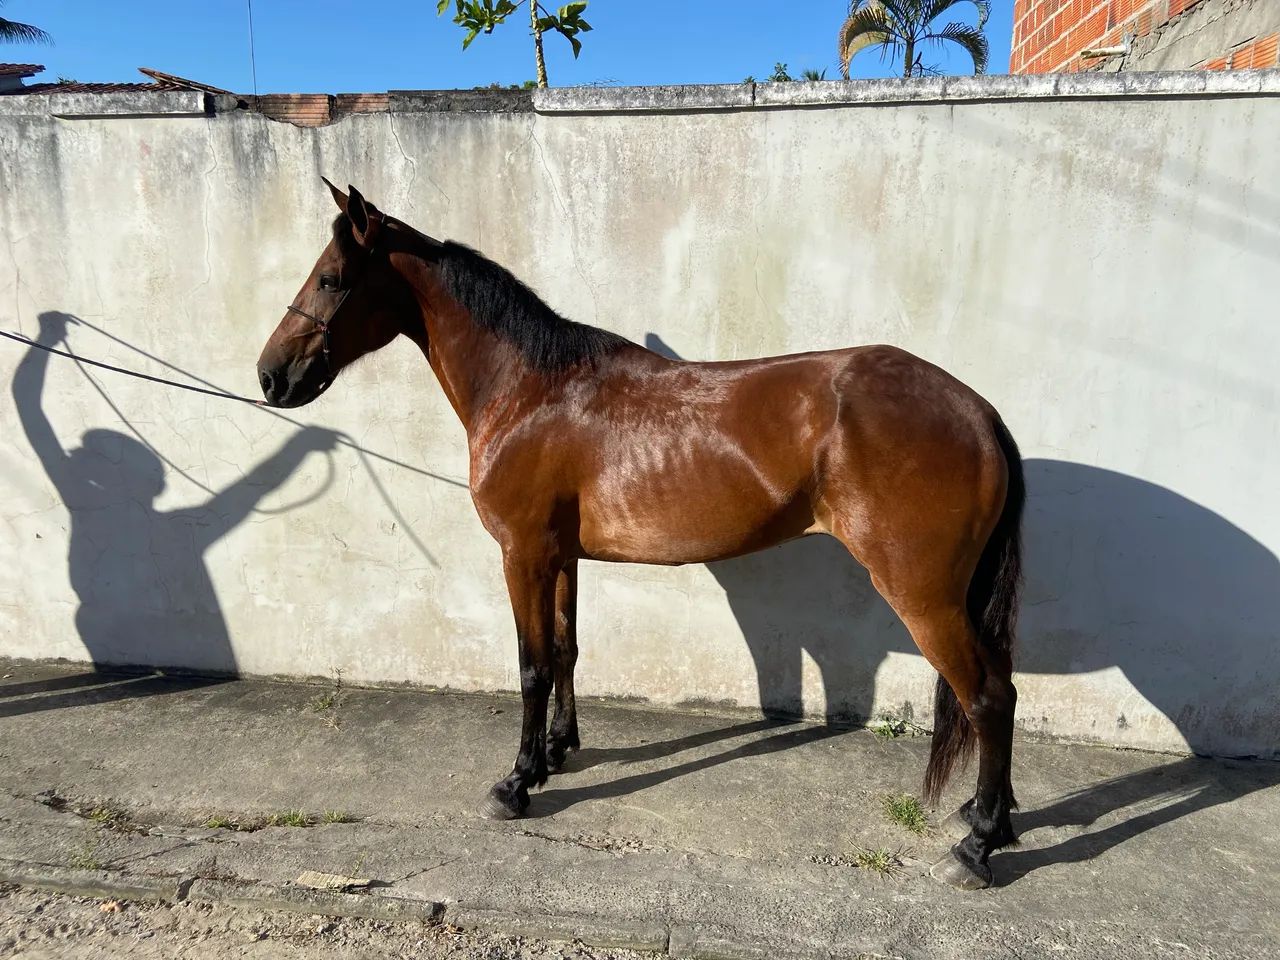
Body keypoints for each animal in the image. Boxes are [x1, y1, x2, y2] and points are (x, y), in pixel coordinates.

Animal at [255, 180, 1026, 890]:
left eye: (331, 278)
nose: (271, 376)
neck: (530, 388)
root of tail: (979, 411)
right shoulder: (560, 557)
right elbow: (565, 650)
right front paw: (557, 752)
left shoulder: (522, 555)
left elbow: (531, 666)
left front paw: (516, 783)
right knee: (1003, 689)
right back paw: (990, 816)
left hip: (923, 595)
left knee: (989, 697)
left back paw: (977, 846)